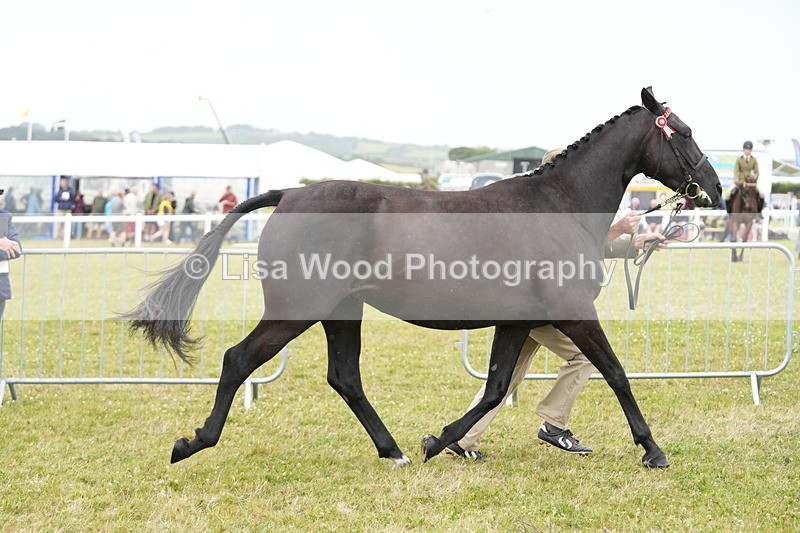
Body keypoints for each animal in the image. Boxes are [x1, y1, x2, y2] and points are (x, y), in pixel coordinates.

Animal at [127, 87, 721, 469]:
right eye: (684, 132)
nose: (713, 188)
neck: (559, 205)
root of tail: (289, 193)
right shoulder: (573, 313)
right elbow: (616, 373)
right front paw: (653, 450)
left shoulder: (517, 321)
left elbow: (496, 388)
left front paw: (439, 441)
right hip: (297, 310)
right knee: (238, 359)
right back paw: (192, 443)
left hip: (342, 312)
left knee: (345, 378)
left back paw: (393, 451)